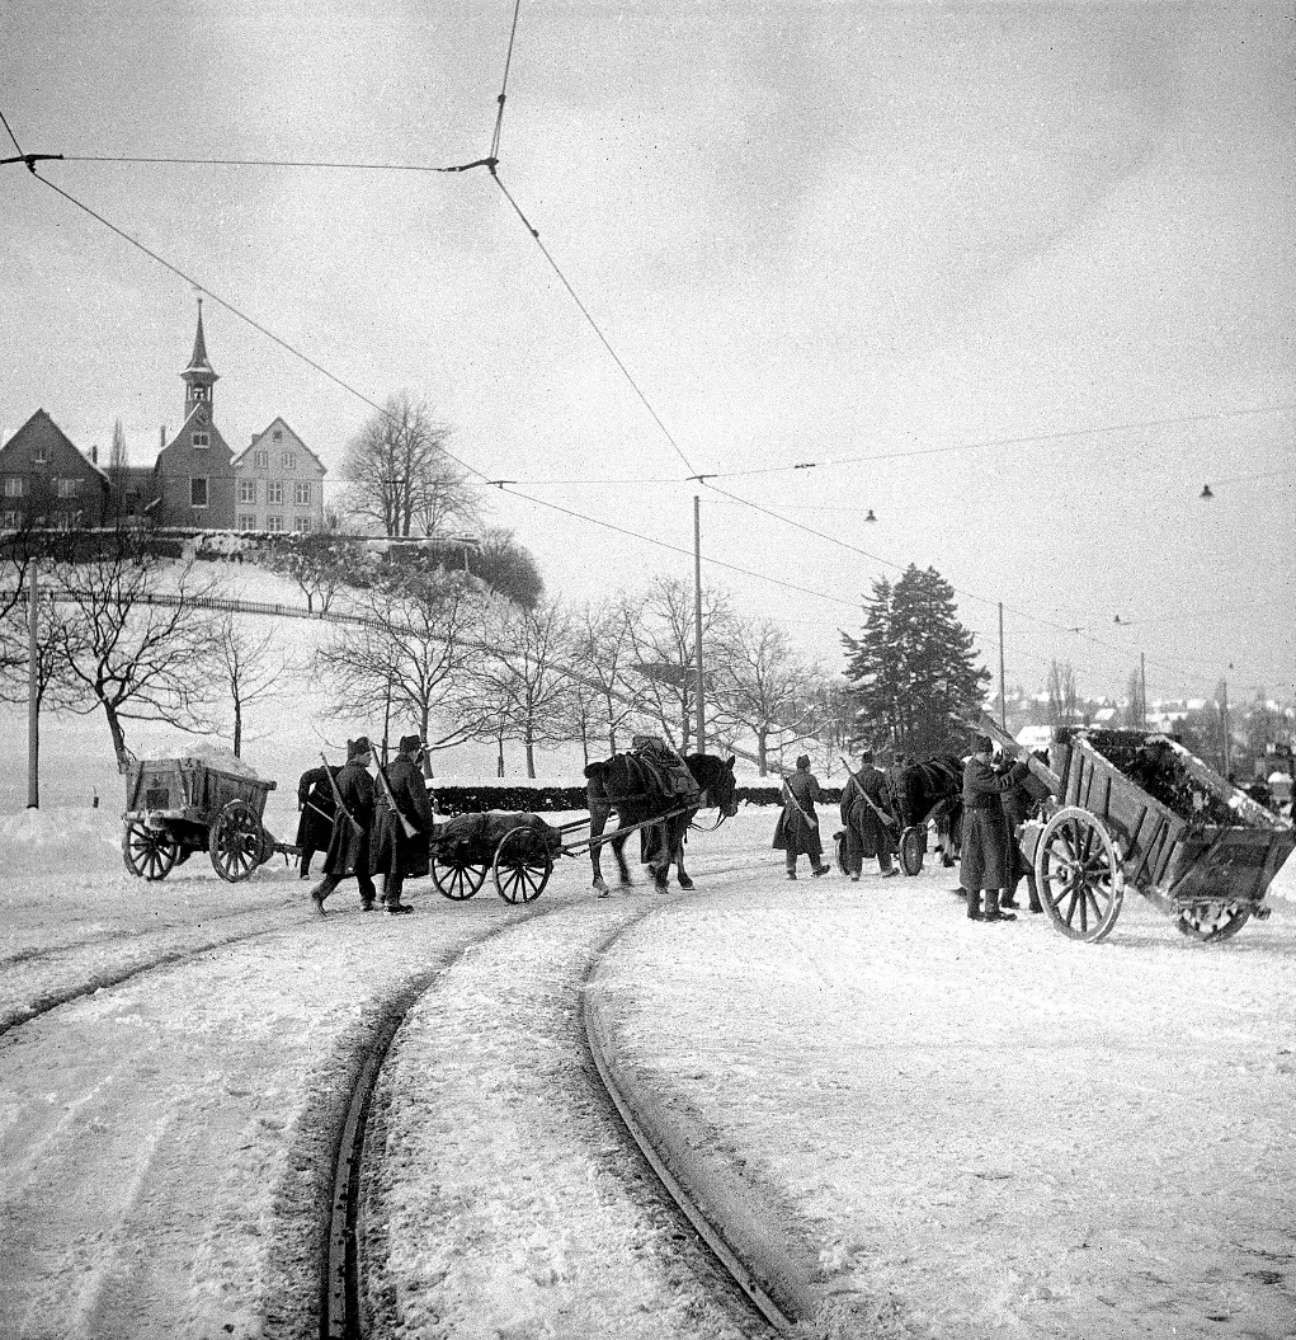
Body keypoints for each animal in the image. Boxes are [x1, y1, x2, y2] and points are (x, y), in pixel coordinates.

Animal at [581, 750, 734, 895]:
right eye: (731, 781)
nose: (733, 808)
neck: (693, 774)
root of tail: (605, 767)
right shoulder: (682, 817)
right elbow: (672, 847)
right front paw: (663, 879)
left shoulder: (667, 820)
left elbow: (675, 850)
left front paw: (664, 874)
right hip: (631, 816)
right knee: (615, 842)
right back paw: (623, 879)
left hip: (599, 810)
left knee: (596, 845)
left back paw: (601, 883)